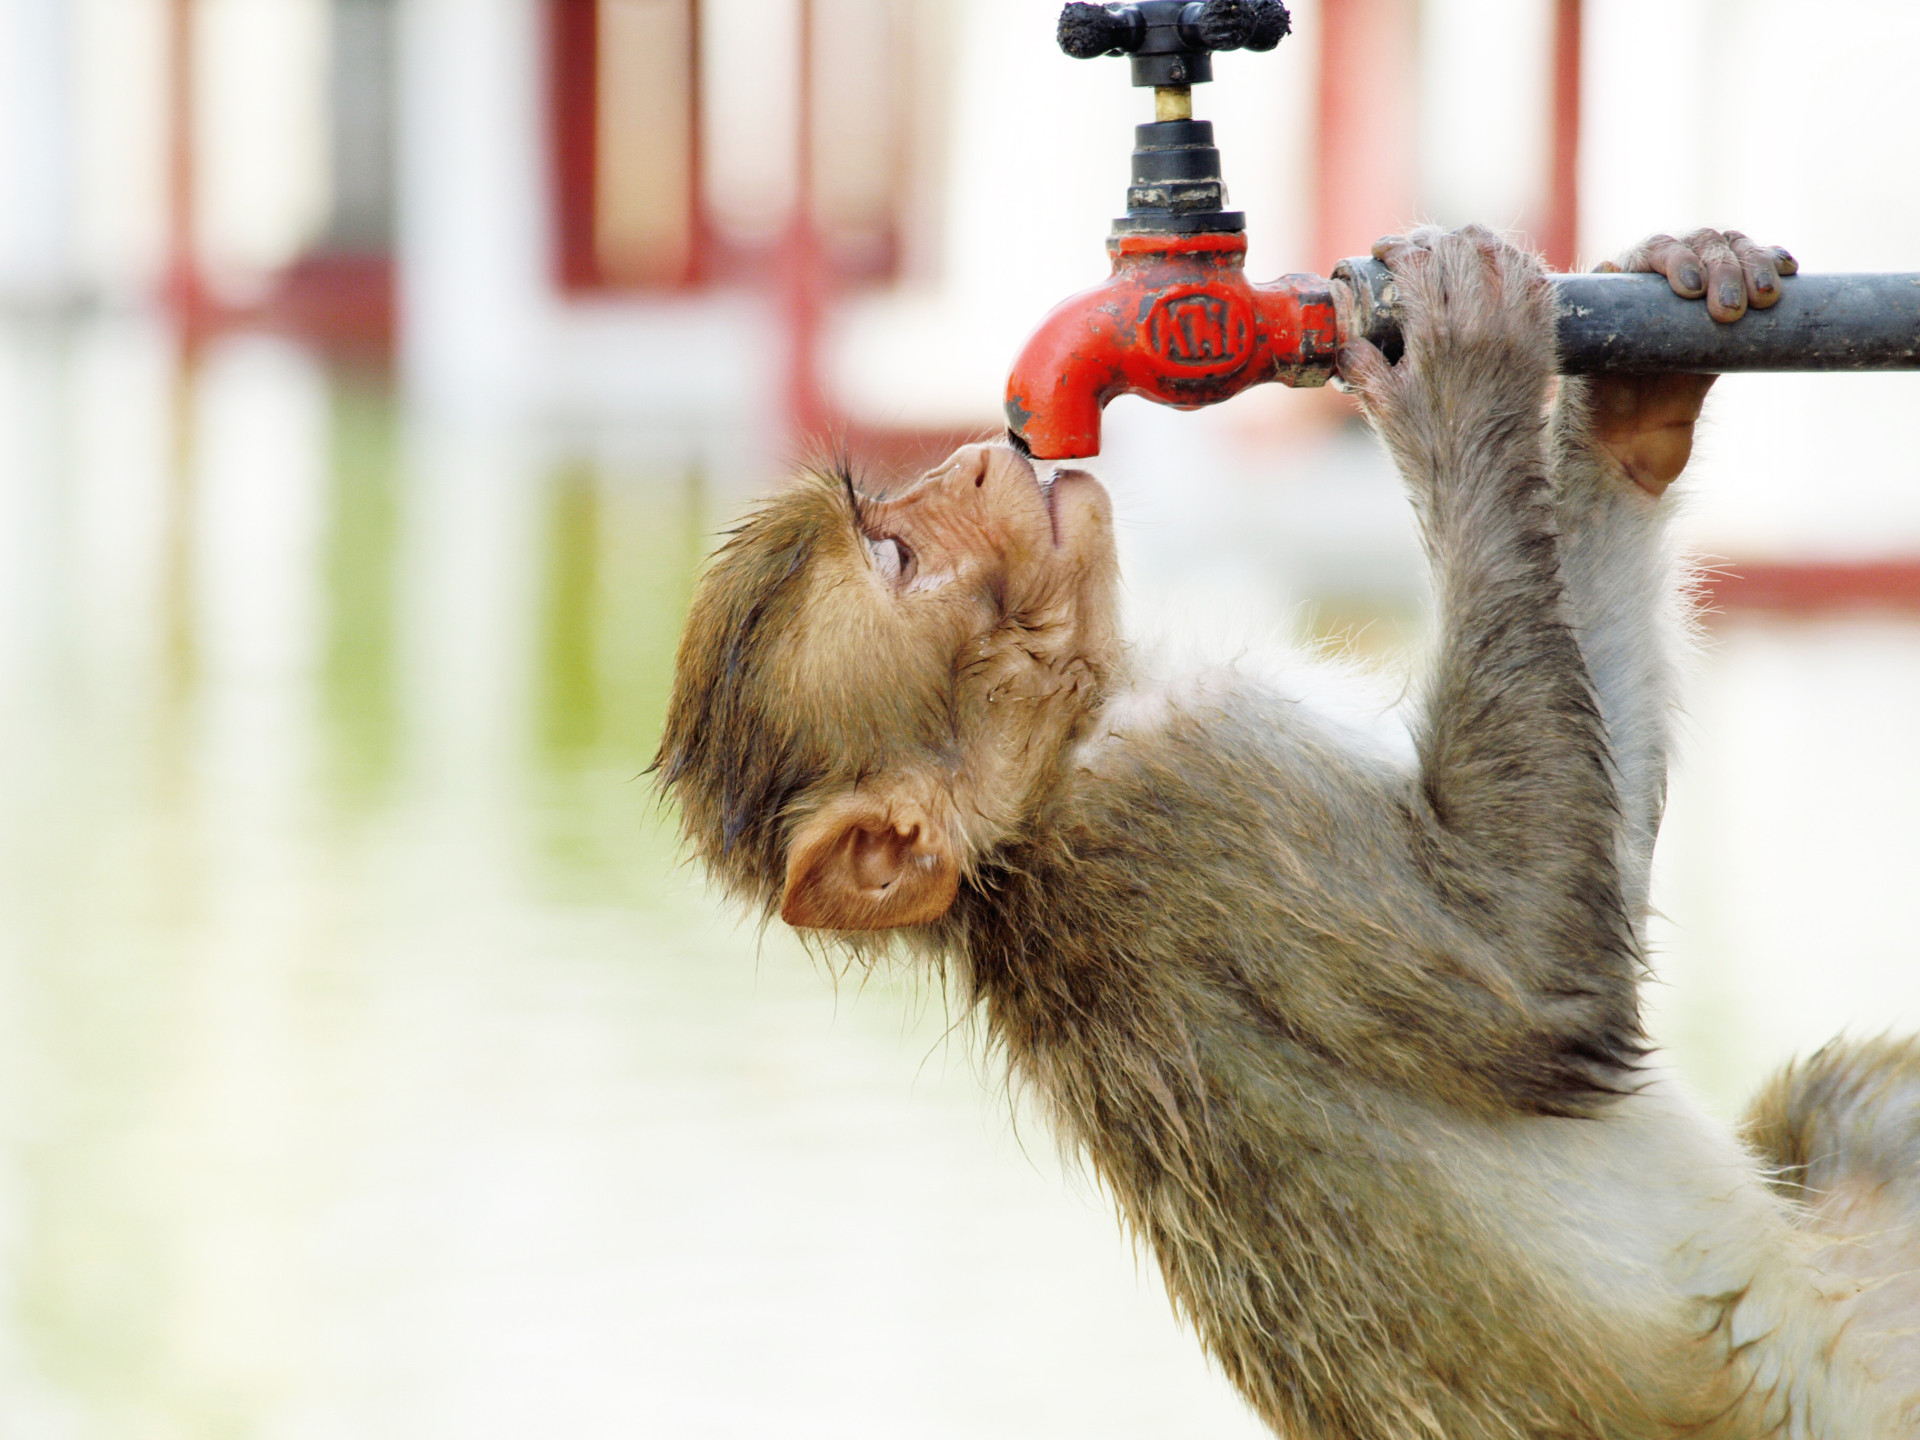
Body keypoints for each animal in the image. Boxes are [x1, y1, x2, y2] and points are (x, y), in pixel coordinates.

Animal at [656, 228, 1920, 1440]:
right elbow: (1542, 988)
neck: (1041, 801)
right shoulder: (1192, 785)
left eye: (894, 518)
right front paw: (1459, 378)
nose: (977, 455)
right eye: (896, 560)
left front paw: (1637, 400)